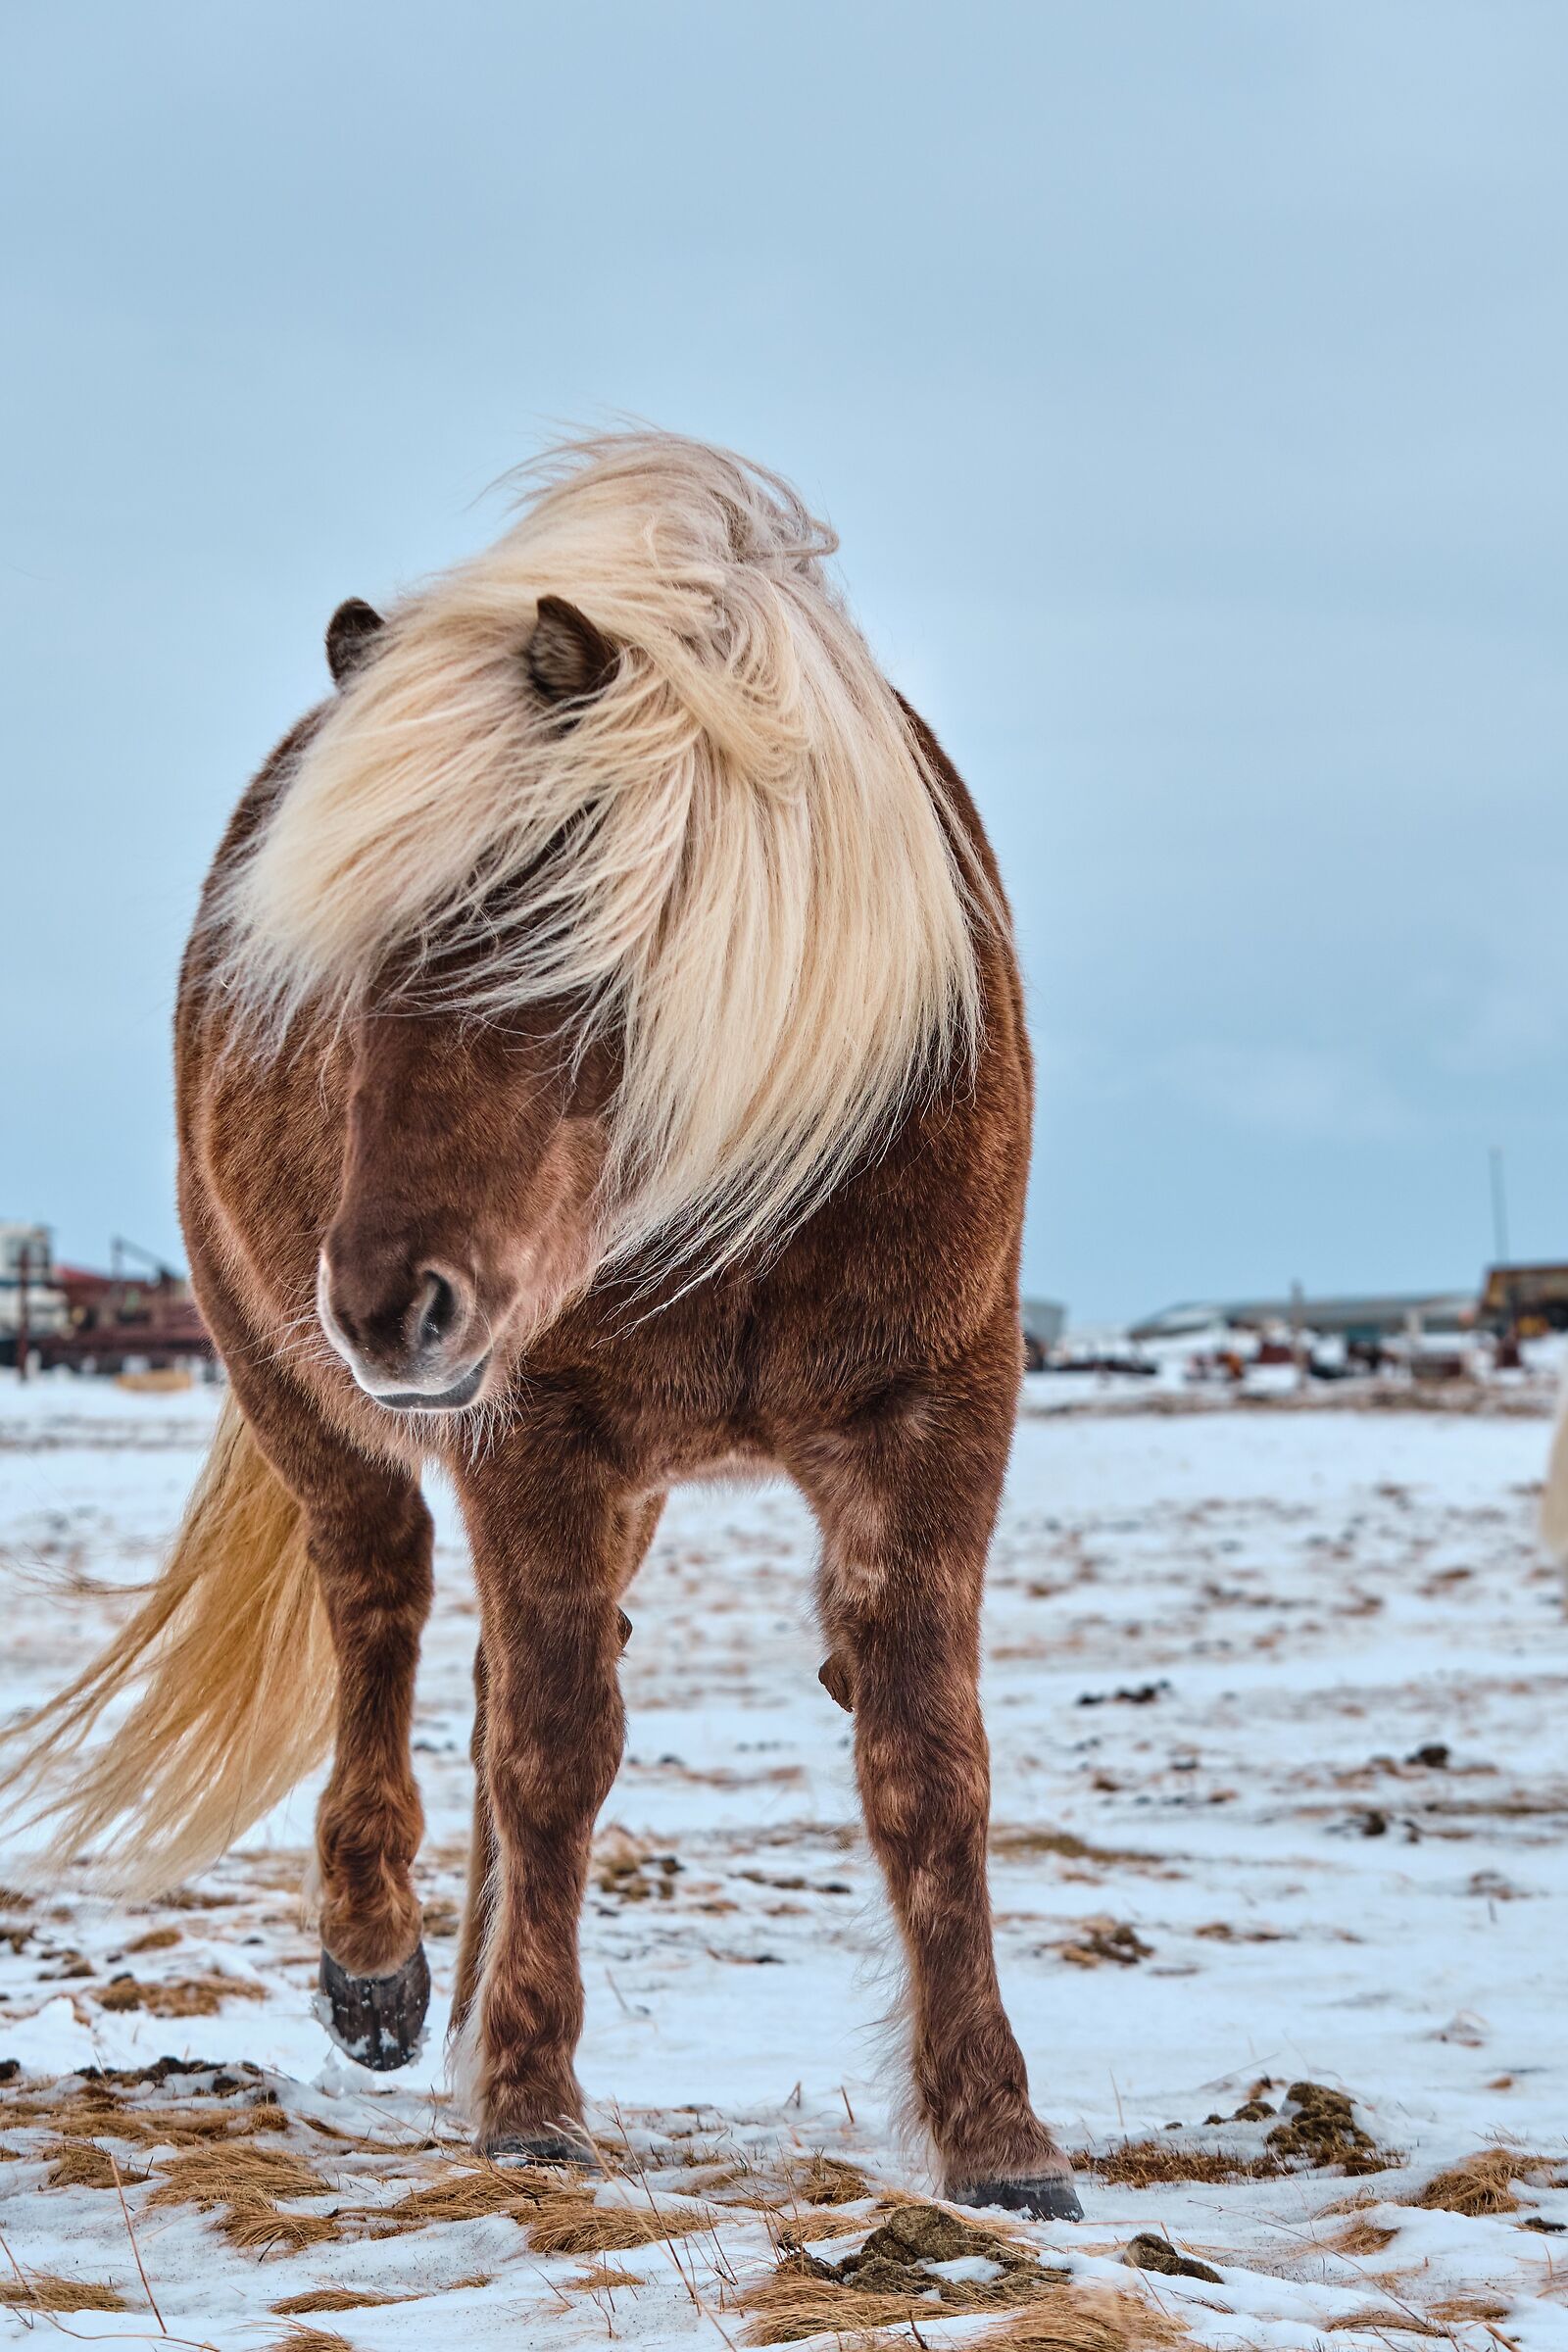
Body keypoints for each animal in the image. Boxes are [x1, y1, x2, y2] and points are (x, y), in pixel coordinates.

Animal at [1, 433, 1079, 2219]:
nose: (385, 1305)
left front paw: (1000, 2141)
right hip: (298, 1389)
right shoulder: (541, 1435)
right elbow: (557, 1755)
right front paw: (526, 2100)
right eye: (329, 979)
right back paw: (380, 1977)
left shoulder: (933, 1423)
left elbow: (930, 1769)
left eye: (534, 928)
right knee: (383, 1607)